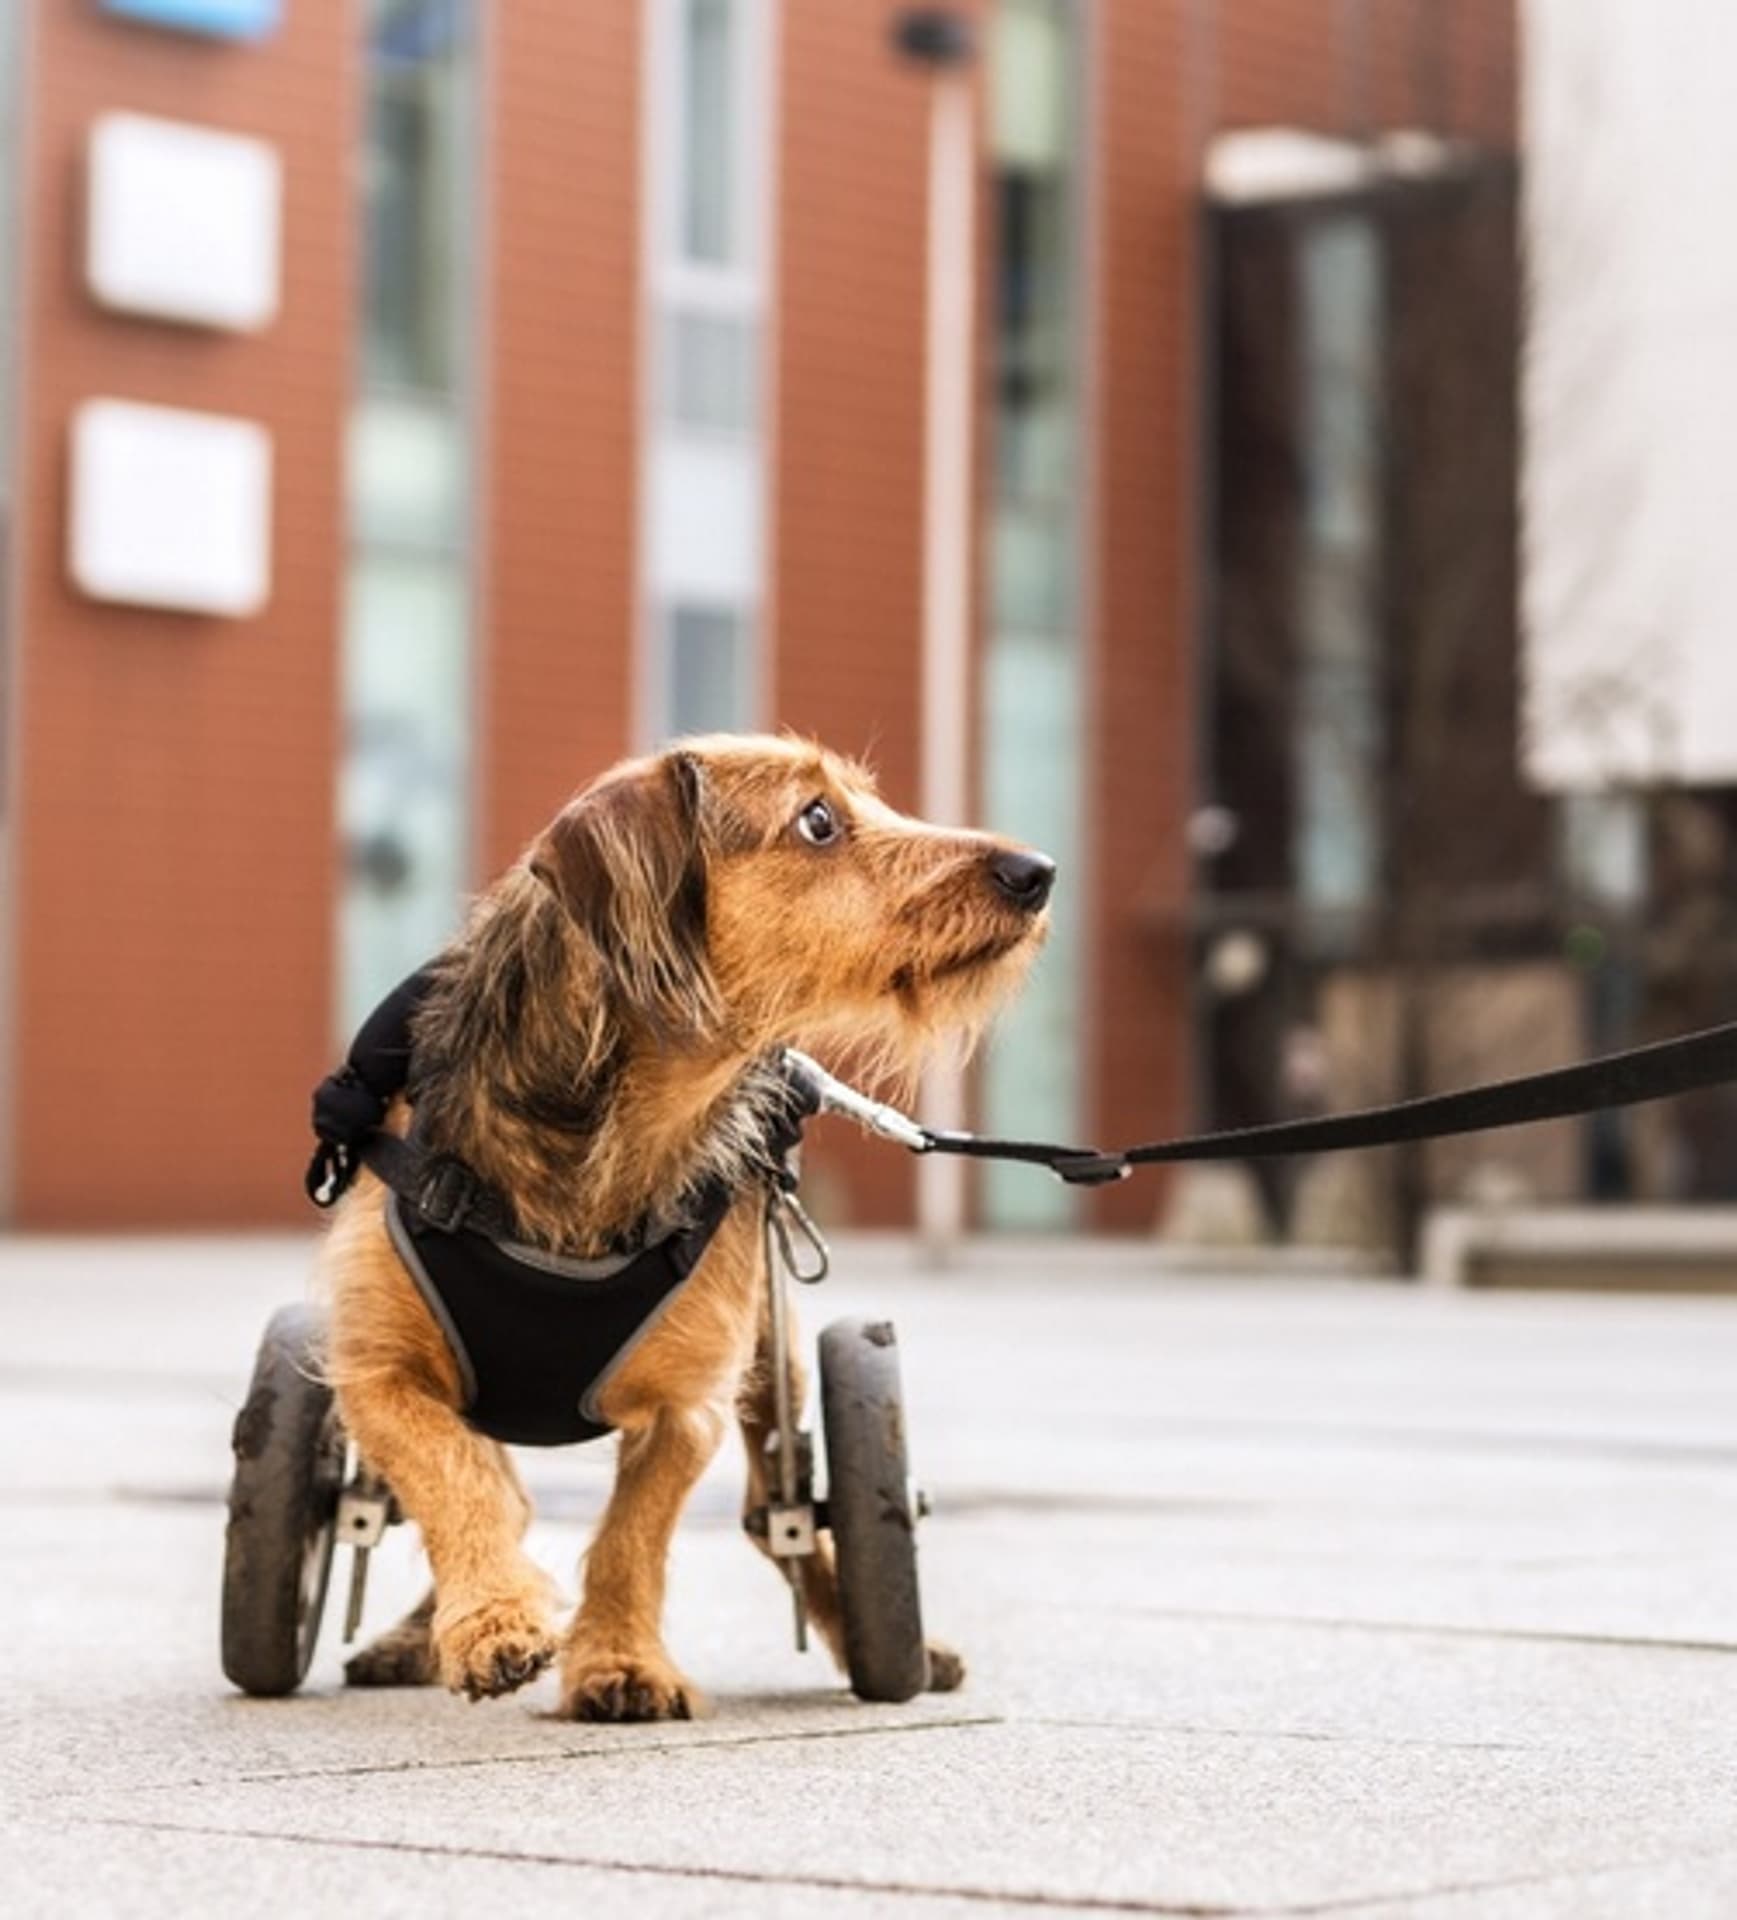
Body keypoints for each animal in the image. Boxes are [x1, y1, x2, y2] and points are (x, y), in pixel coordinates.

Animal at [324, 733, 1059, 1728]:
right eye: (817, 820)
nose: (1038, 872)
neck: (608, 1127)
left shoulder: (687, 1405)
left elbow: (634, 1531)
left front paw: (619, 1663)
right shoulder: (380, 1374)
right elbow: (453, 1476)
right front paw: (492, 1622)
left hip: (775, 1360)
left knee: (777, 1515)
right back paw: (417, 1635)